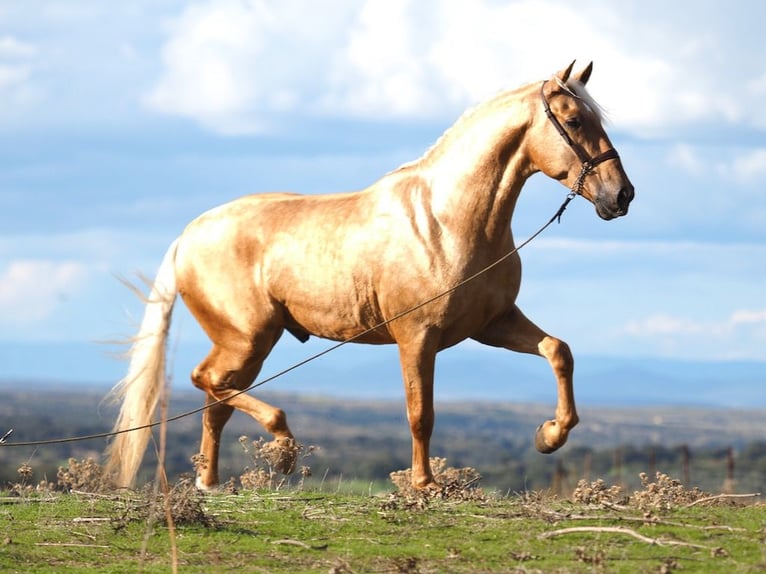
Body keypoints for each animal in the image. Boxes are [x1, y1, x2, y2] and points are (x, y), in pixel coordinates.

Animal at [106, 64, 636, 496]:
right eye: (574, 120)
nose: (621, 195)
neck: (447, 221)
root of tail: (188, 235)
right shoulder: (417, 337)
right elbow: (421, 413)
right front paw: (424, 484)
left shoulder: (492, 324)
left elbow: (558, 351)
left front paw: (549, 436)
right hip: (246, 337)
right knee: (206, 381)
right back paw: (283, 450)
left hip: (254, 344)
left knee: (216, 399)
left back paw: (212, 482)